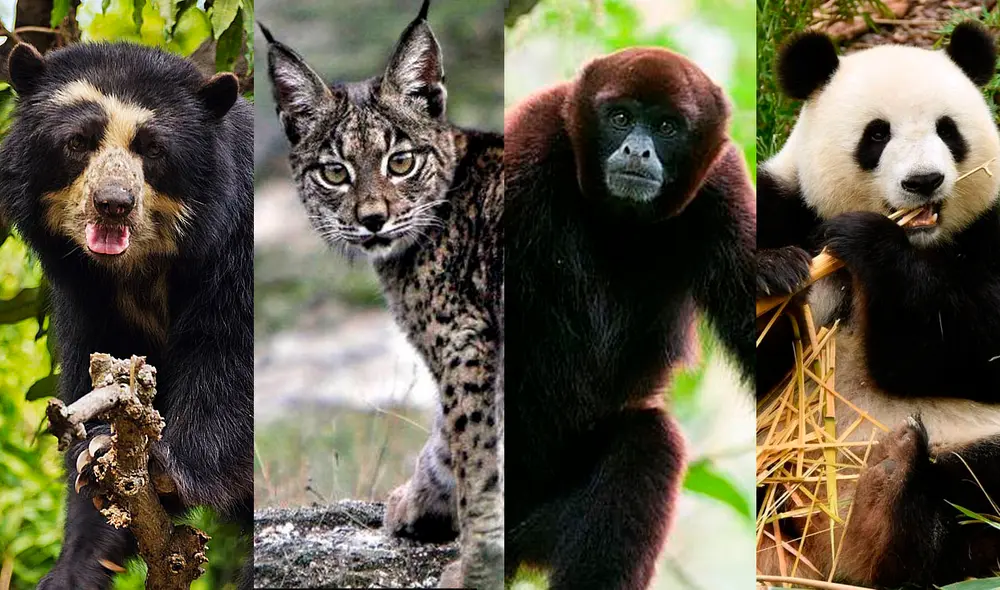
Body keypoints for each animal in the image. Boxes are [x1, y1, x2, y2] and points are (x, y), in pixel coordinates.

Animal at [756, 21, 1000, 588]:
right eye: (876, 135)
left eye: (948, 130)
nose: (923, 182)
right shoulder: (784, 206)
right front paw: (772, 274)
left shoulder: (992, 228)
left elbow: (972, 341)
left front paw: (870, 243)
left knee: (974, 493)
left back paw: (891, 494)